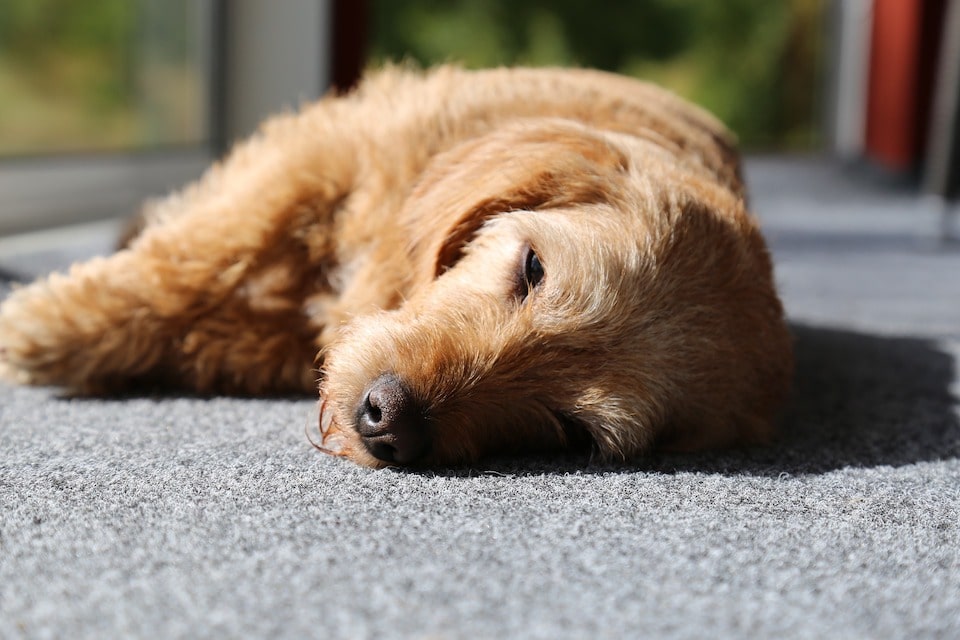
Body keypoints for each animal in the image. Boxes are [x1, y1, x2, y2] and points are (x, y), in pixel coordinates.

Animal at [0, 65, 792, 468]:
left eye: (576, 432)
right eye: (533, 267)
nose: (388, 421)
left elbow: (208, 331)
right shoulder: (321, 156)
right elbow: (205, 246)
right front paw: (49, 324)